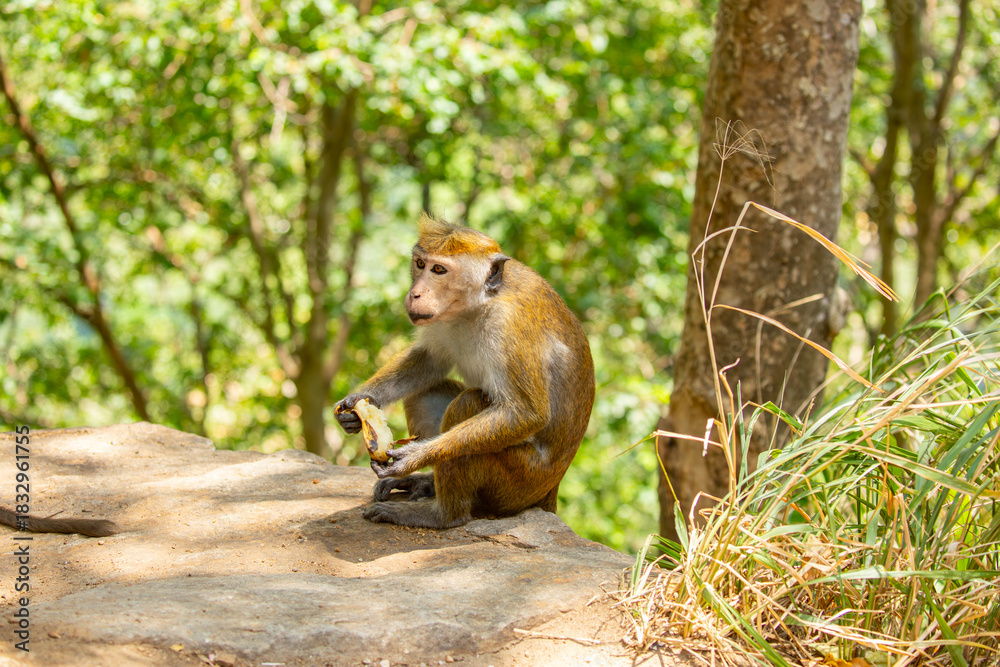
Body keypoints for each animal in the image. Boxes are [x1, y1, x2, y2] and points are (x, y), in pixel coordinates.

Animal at [335, 213, 595, 529]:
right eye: (419, 264)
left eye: (439, 270)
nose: (415, 293)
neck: (478, 304)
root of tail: (550, 488)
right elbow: (429, 360)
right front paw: (357, 404)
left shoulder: (508, 326)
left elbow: (526, 413)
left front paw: (414, 456)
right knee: (425, 392)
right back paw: (426, 484)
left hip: (520, 480)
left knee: (468, 403)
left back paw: (441, 515)